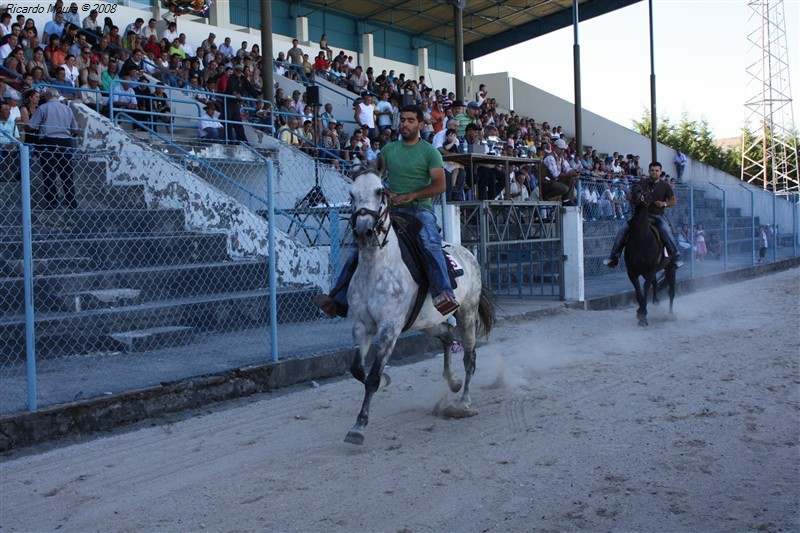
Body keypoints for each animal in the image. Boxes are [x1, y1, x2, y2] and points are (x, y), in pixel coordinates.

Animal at [344, 166, 494, 444]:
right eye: (351, 194)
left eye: (379, 191)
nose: (363, 231)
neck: (376, 268)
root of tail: (468, 254)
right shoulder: (362, 326)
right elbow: (358, 369)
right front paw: (385, 381)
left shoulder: (389, 329)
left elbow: (372, 377)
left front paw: (358, 426)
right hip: (427, 322)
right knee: (447, 336)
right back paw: (453, 382)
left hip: (467, 314)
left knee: (470, 357)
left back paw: (464, 402)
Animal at [624, 182, 676, 324]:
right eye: (632, 187)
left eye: (646, 191)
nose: (635, 194)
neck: (641, 238)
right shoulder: (632, 271)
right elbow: (638, 290)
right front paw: (641, 311)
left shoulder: (651, 268)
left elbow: (646, 286)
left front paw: (642, 315)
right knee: (655, 283)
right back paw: (655, 300)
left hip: (671, 268)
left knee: (671, 290)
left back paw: (670, 314)